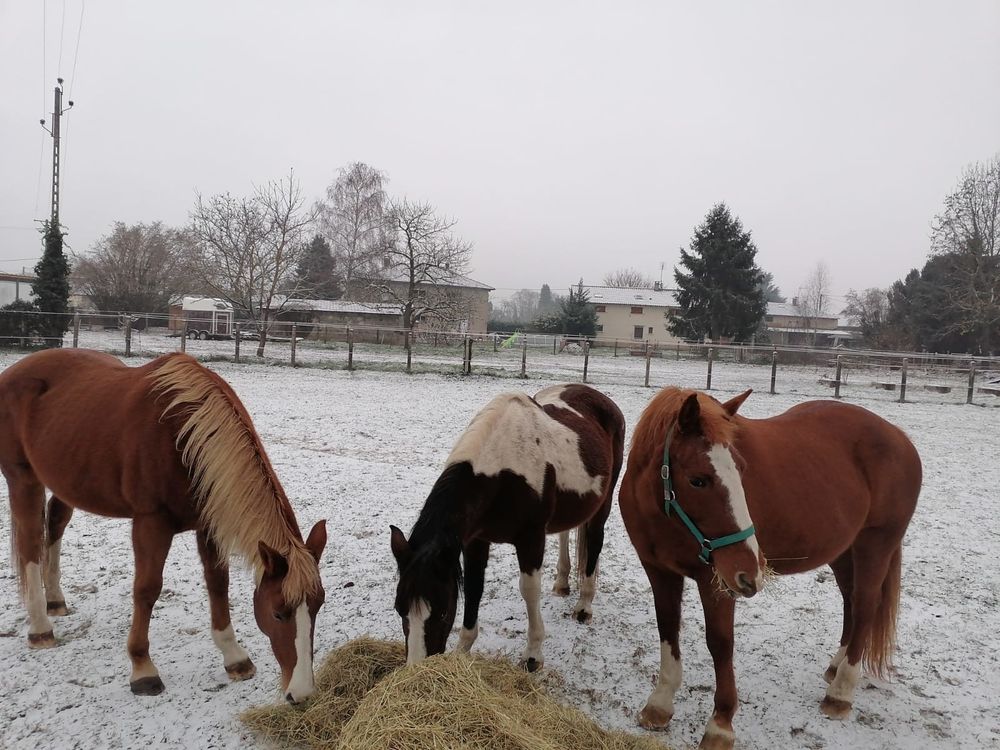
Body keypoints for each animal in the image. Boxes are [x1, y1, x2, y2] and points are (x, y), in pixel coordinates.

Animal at [0, 352, 328, 704]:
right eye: (278, 612)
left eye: (318, 605)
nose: (302, 693)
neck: (182, 439)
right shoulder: (150, 523)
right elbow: (147, 589)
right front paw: (142, 668)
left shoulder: (208, 524)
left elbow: (218, 583)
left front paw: (234, 657)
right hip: (23, 479)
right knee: (30, 543)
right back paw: (40, 627)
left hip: (65, 481)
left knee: (55, 525)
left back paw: (56, 601)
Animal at [390, 384, 624, 672]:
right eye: (400, 609)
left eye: (443, 611)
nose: (417, 669)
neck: (501, 474)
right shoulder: (475, 542)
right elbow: (474, 589)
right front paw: (462, 651)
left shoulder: (531, 539)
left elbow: (529, 590)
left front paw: (533, 655)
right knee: (566, 533)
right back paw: (562, 583)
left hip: (604, 501)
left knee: (594, 538)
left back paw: (584, 604)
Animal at [616, 388, 920, 750]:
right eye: (698, 480)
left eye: (742, 470)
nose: (750, 571)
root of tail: (900, 438)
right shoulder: (659, 571)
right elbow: (667, 629)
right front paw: (660, 705)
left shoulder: (716, 580)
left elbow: (721, 644)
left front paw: (720, 724)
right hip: (844, 550)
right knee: (850, 599)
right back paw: (836, 668)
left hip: (875, 545)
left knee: (864, 606)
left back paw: (841, 693)